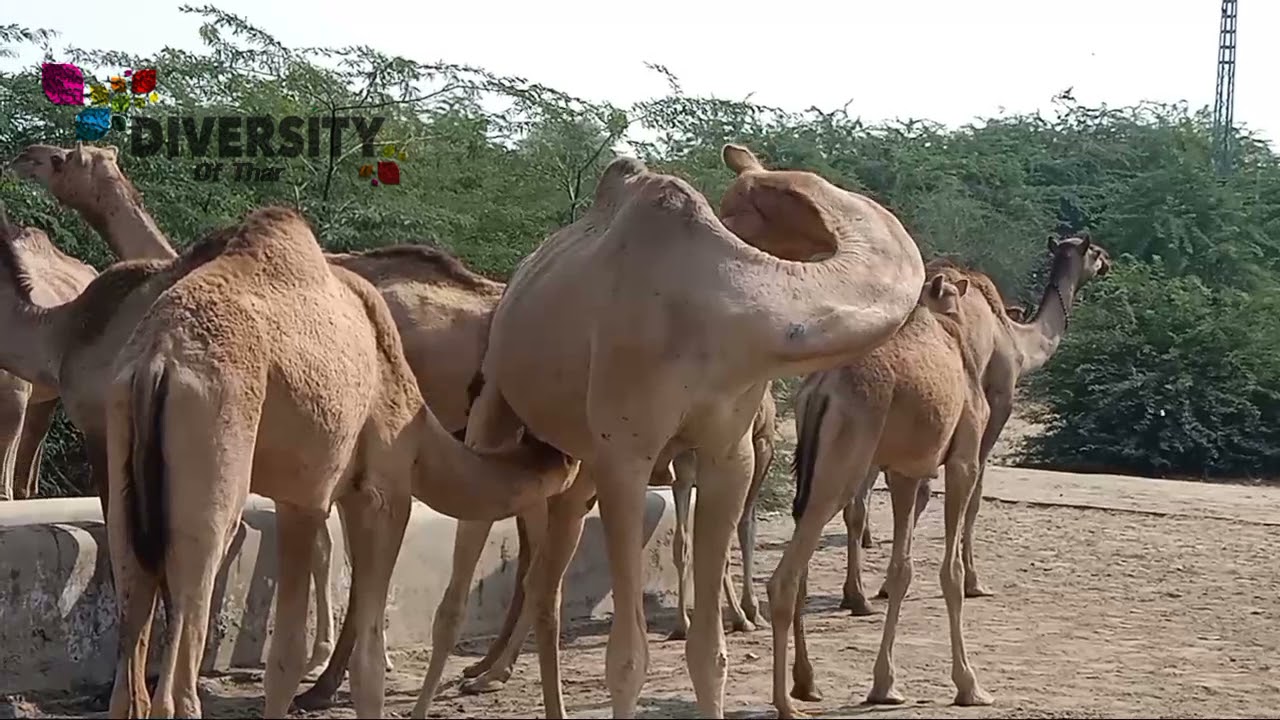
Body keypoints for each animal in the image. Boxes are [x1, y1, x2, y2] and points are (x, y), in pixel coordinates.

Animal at [100, 205, 573, 718]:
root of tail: (157, 360)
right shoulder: (384, 490)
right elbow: (368, 661)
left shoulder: (301, 499)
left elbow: (285, 656)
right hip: (213, 451)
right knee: (181, 671)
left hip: (122, 458)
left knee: (130, 630)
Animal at [428, 144, 923, 718]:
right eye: (730, 211)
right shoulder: (626, 455)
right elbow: (626, 658)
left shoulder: (730, 456)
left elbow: (710, 651)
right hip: (497, 403)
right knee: (457, 593)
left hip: (573, 458)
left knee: (546, 585)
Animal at [770, 269, 1000, 718]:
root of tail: (819, 389)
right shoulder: (963, 460)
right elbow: (949, 573)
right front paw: (970, 686)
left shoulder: (905, 474)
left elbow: (901, 571)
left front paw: (885, 686)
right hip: (843, 466)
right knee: (785, 578)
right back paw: (786, 704)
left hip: (814, 472)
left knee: (801, 563)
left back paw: (807, 684)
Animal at [842, 235, 1113, 613]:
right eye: (1096, 252)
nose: (1109, 262)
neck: (1019, 340)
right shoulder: (997, 403)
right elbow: (974, 494)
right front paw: (973, 582)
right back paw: (860, 594)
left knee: (855, 498)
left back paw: (855, 595)